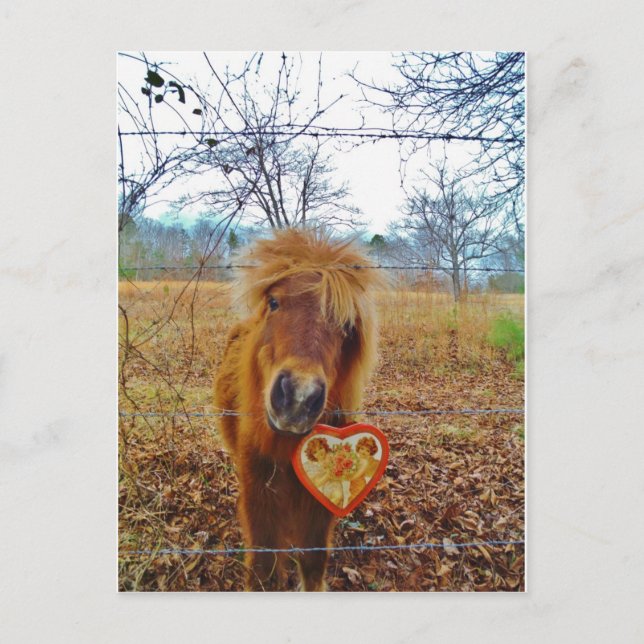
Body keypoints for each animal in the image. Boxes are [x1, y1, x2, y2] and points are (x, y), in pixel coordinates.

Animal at [214, 228, 383, 591]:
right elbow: (263, 568)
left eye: (346, 325)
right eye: (274, 302)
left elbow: (312, 561)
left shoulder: (318, 509)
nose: (298, 398)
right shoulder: (259, 501)